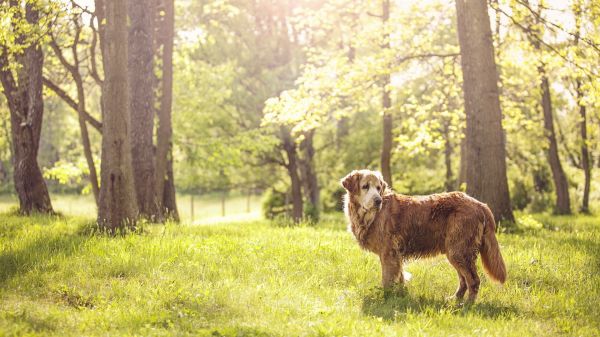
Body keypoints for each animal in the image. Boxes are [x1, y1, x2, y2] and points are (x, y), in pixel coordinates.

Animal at [342, 169, 506, 300]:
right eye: (365, 186)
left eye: (378, 188)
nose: (378, 200)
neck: (370, 216)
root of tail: (480, 204)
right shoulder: (395, 254)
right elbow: (400, 277)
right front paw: (400, 296)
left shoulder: (388, 253)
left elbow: (387, 280)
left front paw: (385, 299)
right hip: (455, 252)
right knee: (463, 280)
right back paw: (454, 300)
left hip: (458, 251)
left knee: (473, 281)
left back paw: (467, 305)